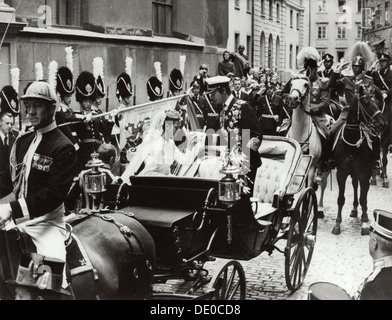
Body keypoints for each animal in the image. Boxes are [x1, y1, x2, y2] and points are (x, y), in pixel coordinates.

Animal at [332, 85, 388, 235]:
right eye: (367, 103)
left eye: (377, 102)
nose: (382, 123)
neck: (352, 143)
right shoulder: (341, 173)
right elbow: (340, 199)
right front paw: (337, 224)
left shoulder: (364, 173)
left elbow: (363, 198)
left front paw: (364, 223)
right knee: (355, 186)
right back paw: (354, 209)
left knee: (363, 191)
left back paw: (363, 214)